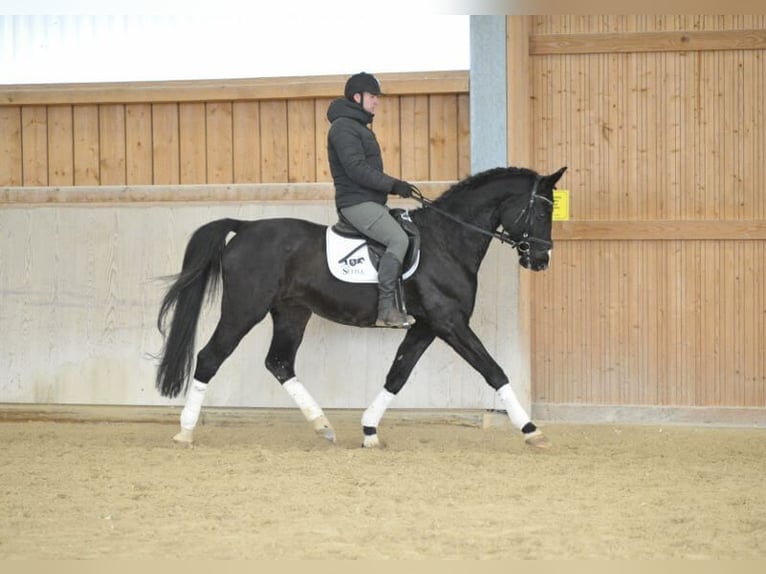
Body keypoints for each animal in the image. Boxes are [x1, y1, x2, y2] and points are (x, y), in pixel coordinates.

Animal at [156, 165, 568, 450]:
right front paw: (532, 431)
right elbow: (494, 371)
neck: (447, 240)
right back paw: (185, 432)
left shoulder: (426, 326)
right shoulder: (449, 322)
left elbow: (397, 375)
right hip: (243, 311)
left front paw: (369, 430)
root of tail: (244, 227)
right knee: (210, 358)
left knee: (280, 363)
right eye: (541, 212)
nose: (541, 260)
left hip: (291, 313)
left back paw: (323, 425)